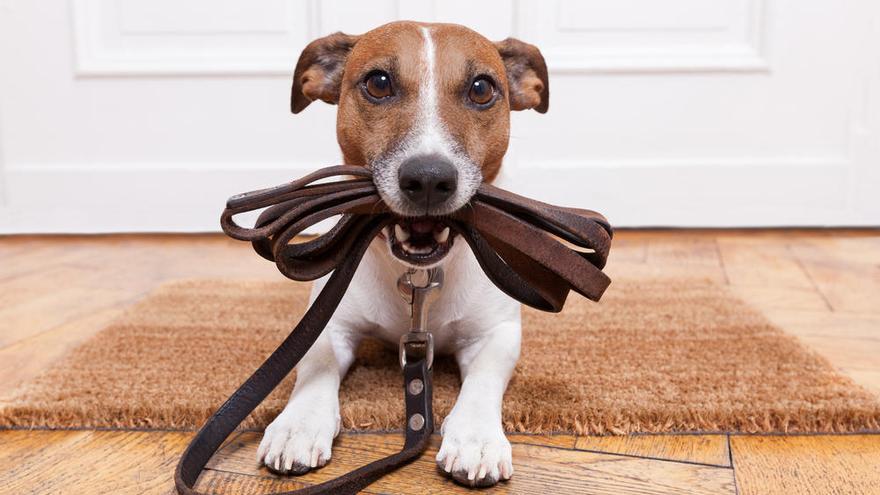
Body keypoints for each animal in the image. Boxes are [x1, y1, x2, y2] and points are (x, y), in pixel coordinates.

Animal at [253, 20, 544, 488]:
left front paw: (476, 437)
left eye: (481, 88)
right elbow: (315, 366)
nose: (428, 179)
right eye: (378, 83)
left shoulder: (497, 333)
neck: (418, 275)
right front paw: (298, 423)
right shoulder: (329, 322)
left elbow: (483, 379)